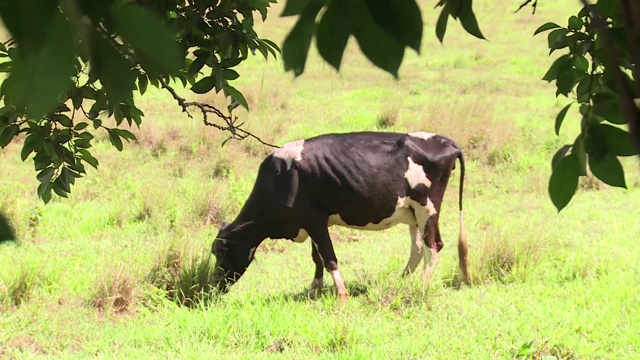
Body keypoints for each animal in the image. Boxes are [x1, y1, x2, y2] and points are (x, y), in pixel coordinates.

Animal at [212, 131, 468, 300]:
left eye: (221, 253)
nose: (213, 286)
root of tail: (442, 139)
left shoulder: (314, 220)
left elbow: (329, 257)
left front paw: (342, 294)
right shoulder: (312, 222)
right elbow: (317, 257)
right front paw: (314, 289)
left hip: (427, 208)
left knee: (433, 246)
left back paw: (422, 288)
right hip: (412, 213)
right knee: (418, 249)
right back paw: (402, 281)